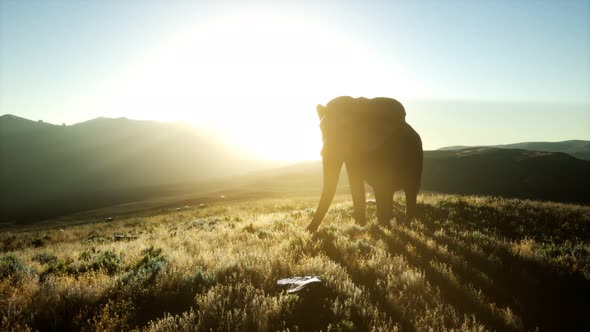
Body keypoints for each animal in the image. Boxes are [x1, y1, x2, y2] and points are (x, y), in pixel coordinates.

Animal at [308, 95, 424, 233]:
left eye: (346, 130)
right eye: (321, 129)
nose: (308, 230)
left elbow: (381, 183)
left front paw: (376, 227)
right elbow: (355, 180)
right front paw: (360, 226)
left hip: (417, 157)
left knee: (409, 189)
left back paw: (403, 225)